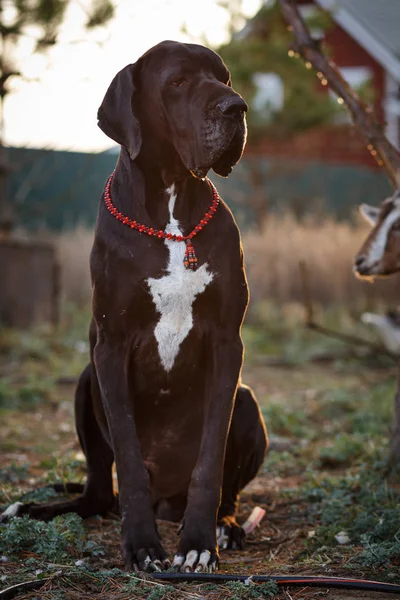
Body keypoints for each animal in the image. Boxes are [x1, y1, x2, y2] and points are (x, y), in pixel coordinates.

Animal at [2, 39, 268, 576]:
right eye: (178, 82)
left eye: (224, 77)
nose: (236, 107)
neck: (171, 211)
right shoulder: (111, 346)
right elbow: (125, 454)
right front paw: (143, 545)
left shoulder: (227, 343)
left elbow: (211, 458)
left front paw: (198, 542)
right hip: (86, 383)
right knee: (98, 494)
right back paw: (41, 509)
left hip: (248, 401)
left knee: (225, 486)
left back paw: (226, 526)